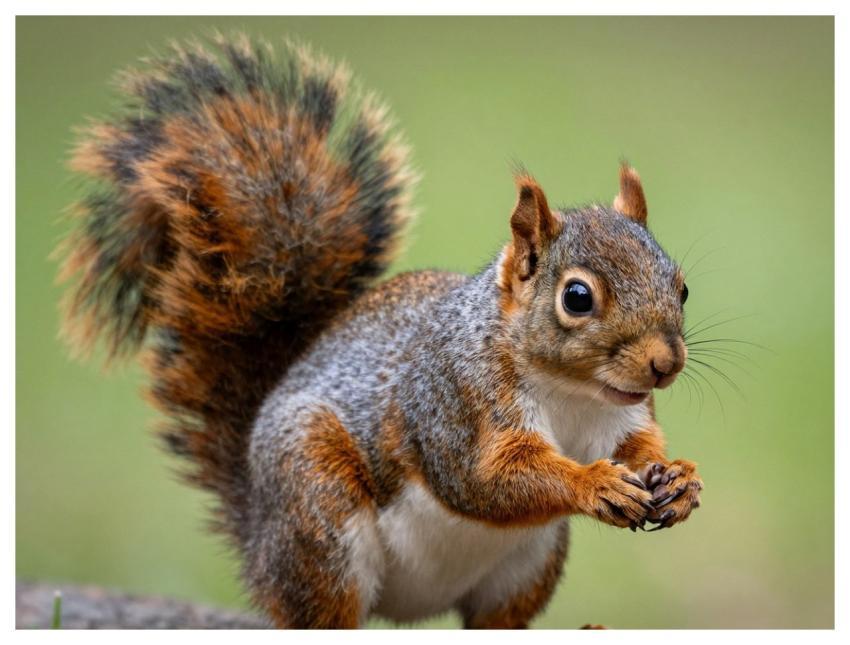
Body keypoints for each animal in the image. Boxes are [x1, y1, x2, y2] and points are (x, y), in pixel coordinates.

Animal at [58, 34, 704, 629]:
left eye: (681, 287)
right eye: (577, 297)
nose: (665, 364)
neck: (571, 392)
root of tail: (257, 538)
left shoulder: (623, 416)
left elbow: (639, 447)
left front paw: (678, 478)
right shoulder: (454, 403)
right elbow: (487, 477)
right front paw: (595, 484)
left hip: (529, 562)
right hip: (318, 508)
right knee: (324, 611)